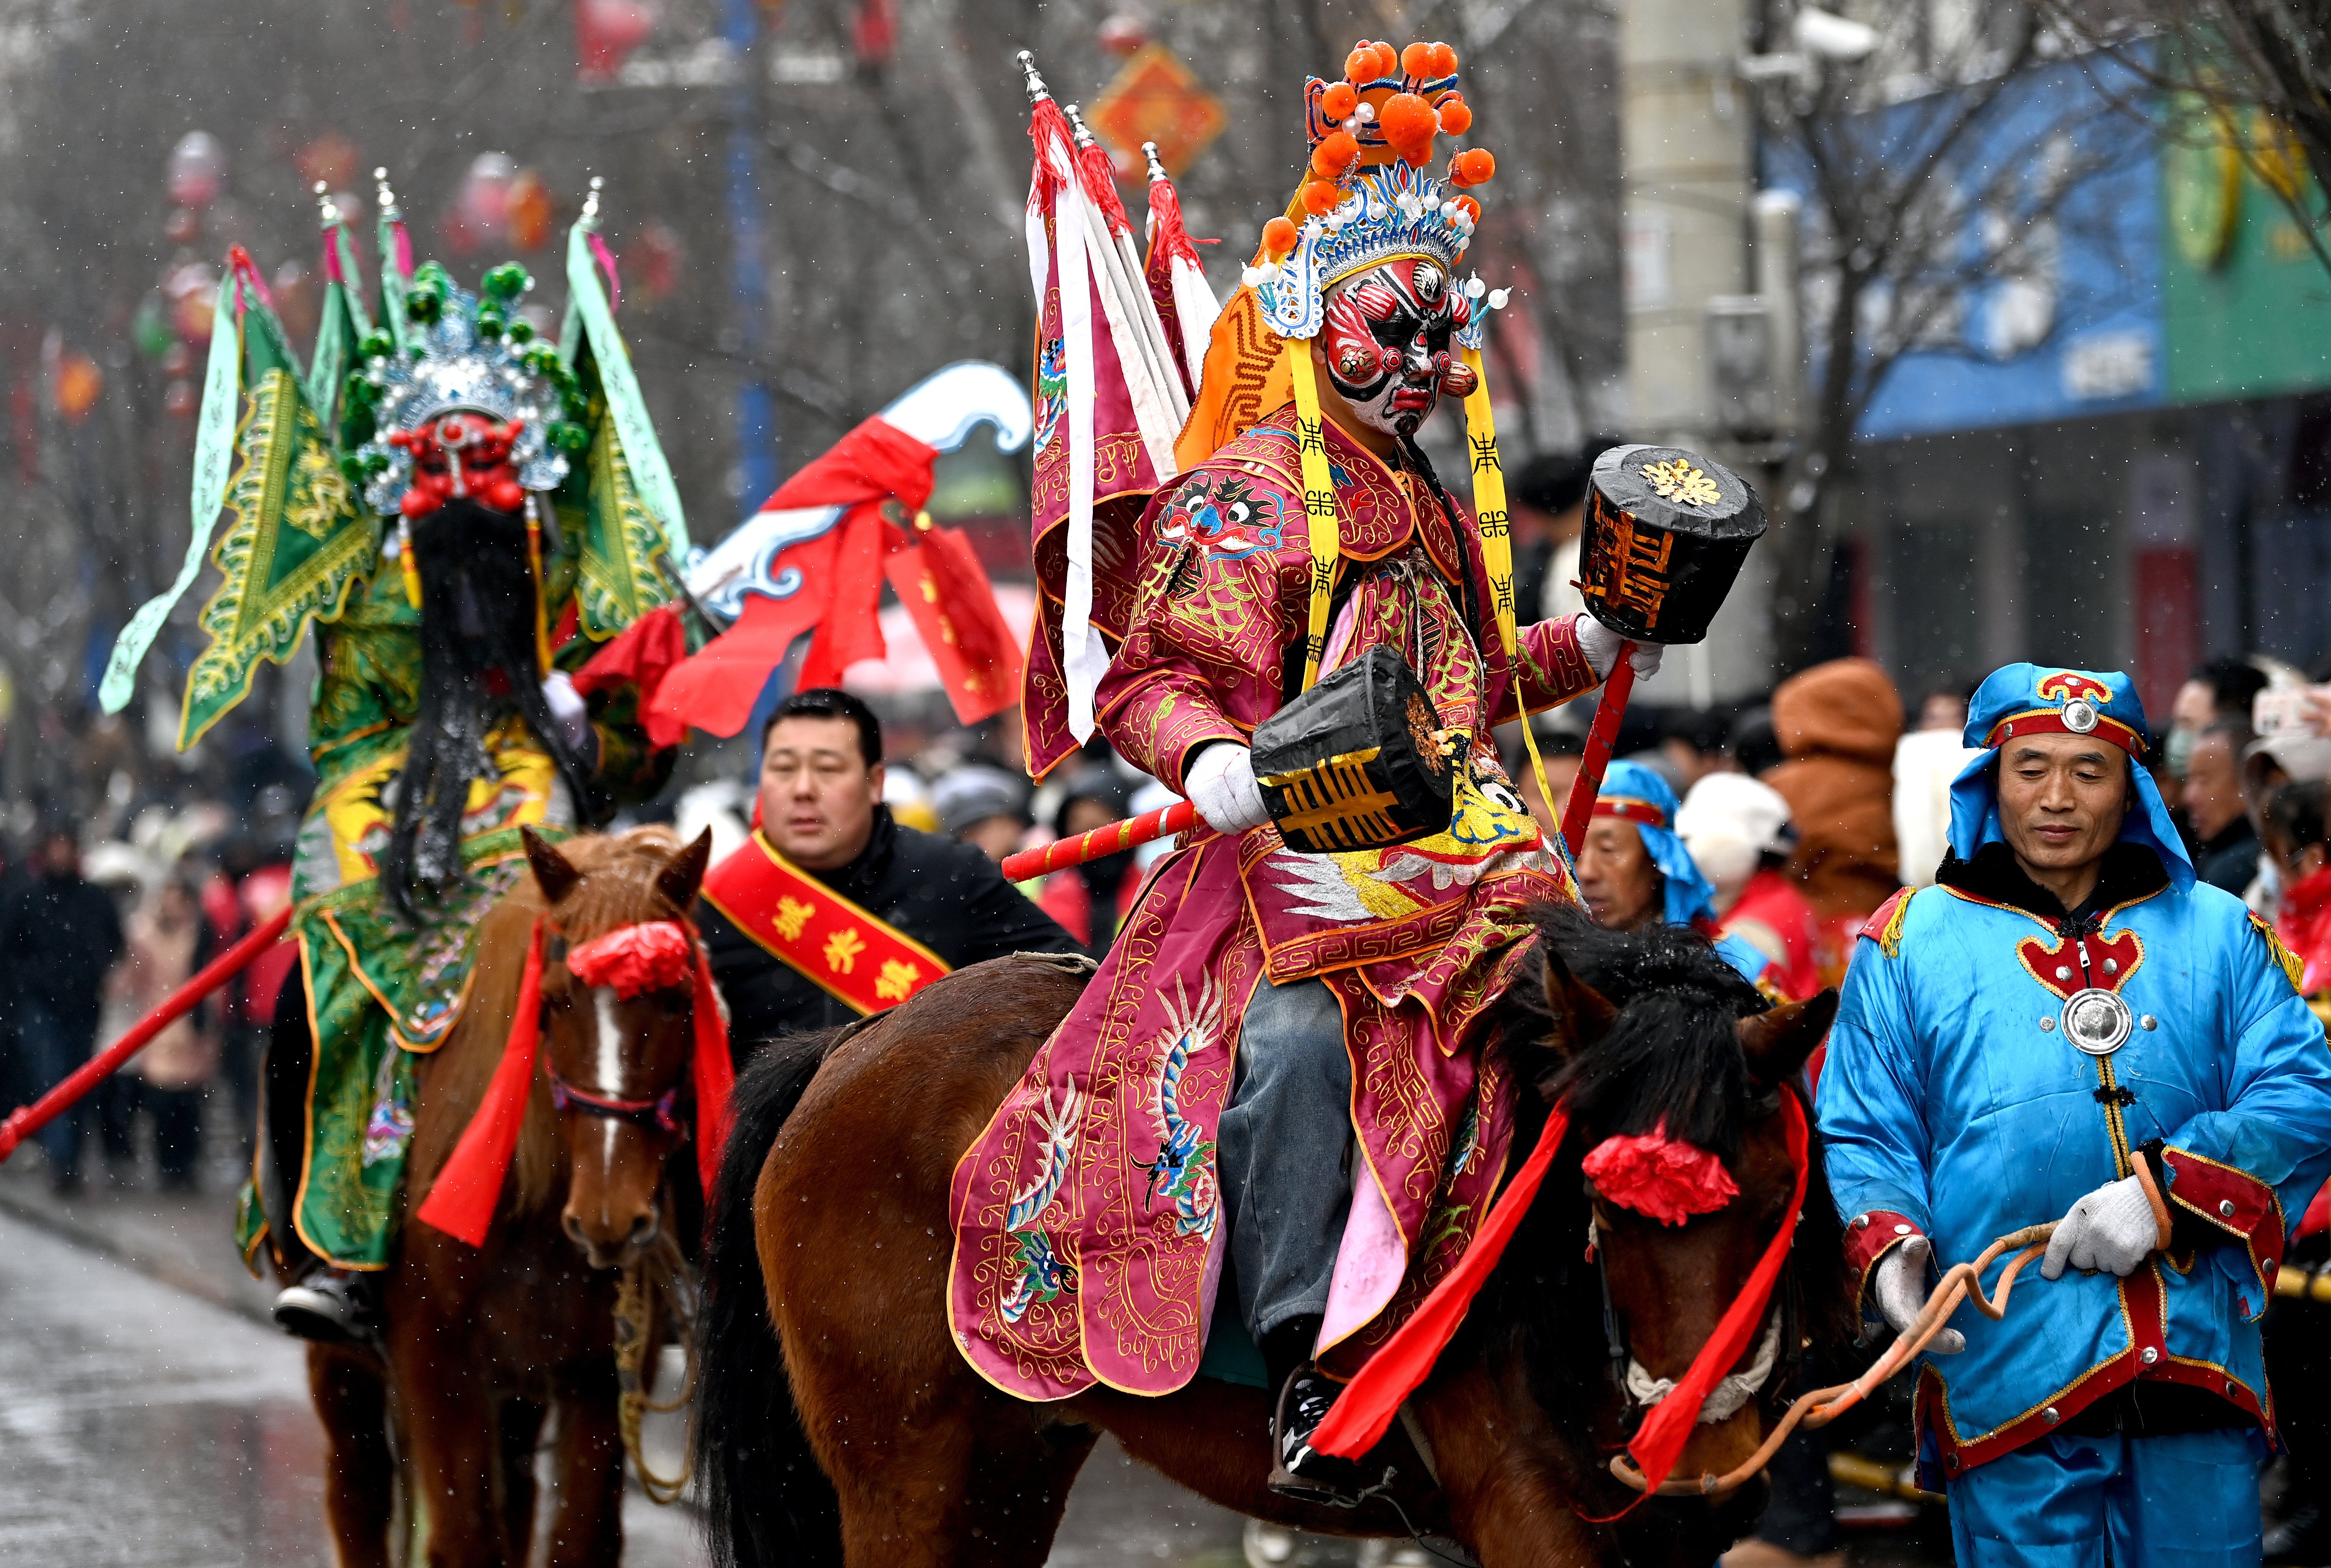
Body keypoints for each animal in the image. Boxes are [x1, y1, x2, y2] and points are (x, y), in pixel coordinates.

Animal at [303, 824, 718, 1556]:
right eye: (555, 1001)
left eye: (677, 1000)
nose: (609, 1218)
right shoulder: (437, 1359)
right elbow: (465, 1536)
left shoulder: (601, 1370)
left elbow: (580, 1536)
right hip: (343, 1361)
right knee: (357, 1487)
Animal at [699, 904, 1846, 1565]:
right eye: (1603, 1206)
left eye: (1774, 1199)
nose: (1696, 1468)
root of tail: (843, 1043)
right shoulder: (1524, 1507)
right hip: (902, 1469)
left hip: (1009, 1459)